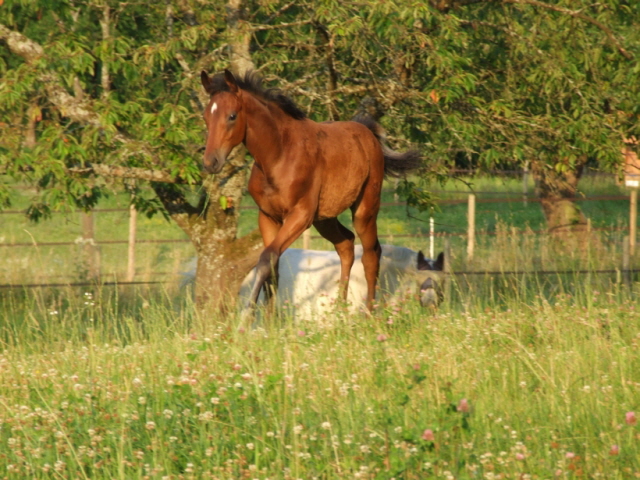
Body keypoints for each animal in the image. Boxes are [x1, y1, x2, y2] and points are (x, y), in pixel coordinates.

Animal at [200, 68, 420, 316]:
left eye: (232, 116)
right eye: (206, 117)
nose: (210, 162)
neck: (279, 155)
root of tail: (368, 133)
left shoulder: (300, 215)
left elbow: (266, 259)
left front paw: (247, 316)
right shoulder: (268, 217)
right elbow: (272, 265)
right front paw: (268, 321)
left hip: (364, 210)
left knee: (371, 254)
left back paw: (369, 314)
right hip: (324, 218)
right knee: (346, 245)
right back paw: (340, 310)